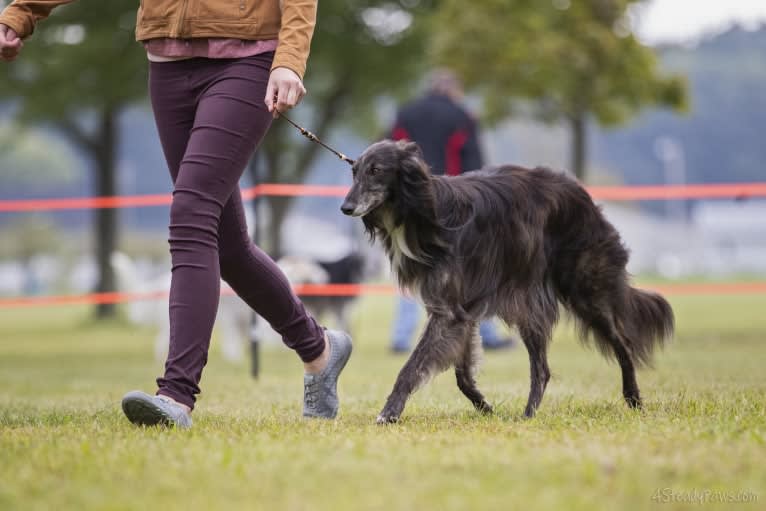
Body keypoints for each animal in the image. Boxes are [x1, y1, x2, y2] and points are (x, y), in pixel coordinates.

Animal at [340, 139, 676, 424]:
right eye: (354, 171)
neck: (423, 212)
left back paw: (631, 399)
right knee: (543, 369)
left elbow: (411, 367)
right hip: (530, 304)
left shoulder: (448, 311)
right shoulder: (461, 311)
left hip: (584, 291)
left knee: (621, 346)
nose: (345, 208)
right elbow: (462, 374)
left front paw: (389, 412)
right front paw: (485, 407)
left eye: (376, 170)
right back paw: (529, 413)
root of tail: (580, 192)